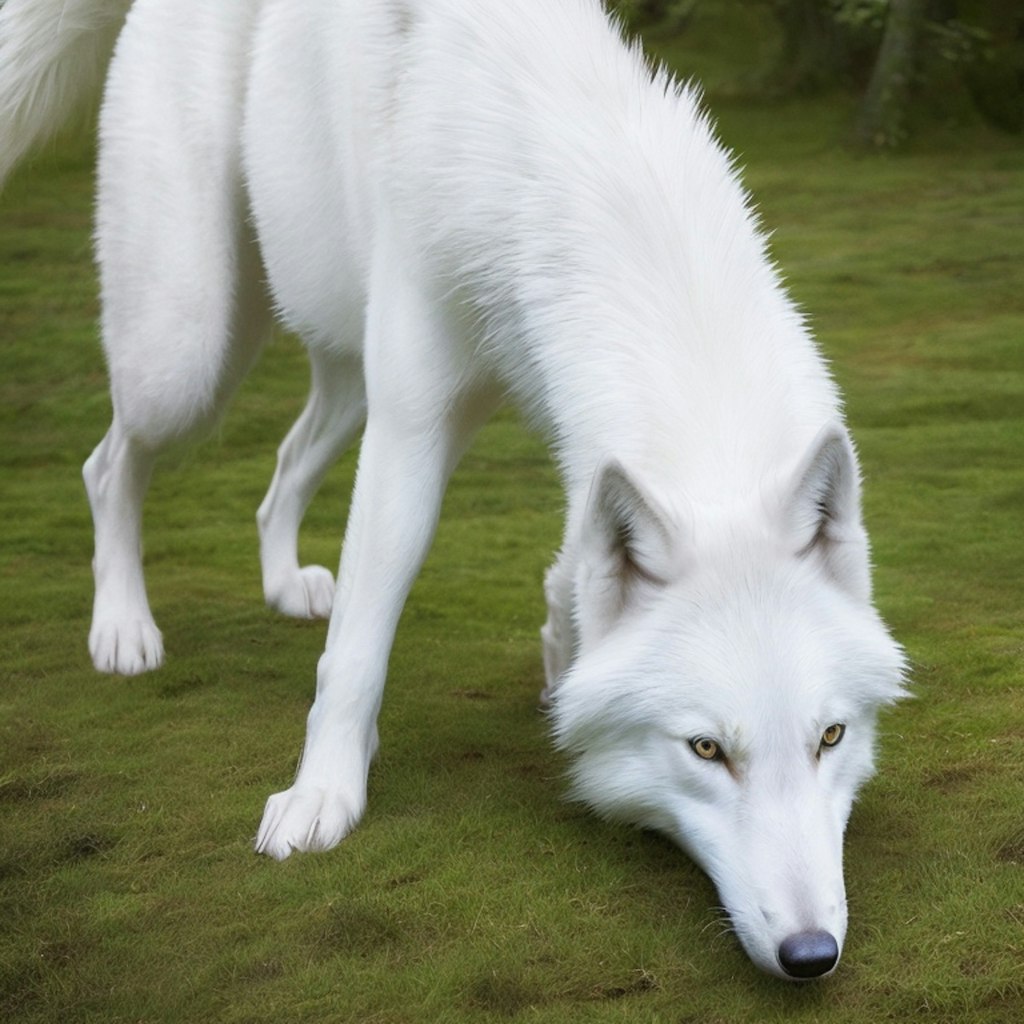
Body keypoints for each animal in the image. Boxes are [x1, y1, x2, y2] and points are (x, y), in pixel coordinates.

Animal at [0, 0, 905, 974]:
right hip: (190, 357)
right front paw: (322, 796)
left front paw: (561, 662)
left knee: (280, 467)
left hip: (339, 369)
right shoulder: (412, 428)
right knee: (107, 465)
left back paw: (283, 584)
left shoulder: (541, 436)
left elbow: (569, 566)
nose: (812, 955)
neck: (560, 159)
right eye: (705, 750)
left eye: (831, 737)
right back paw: (123, 628)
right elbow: (358, 649)